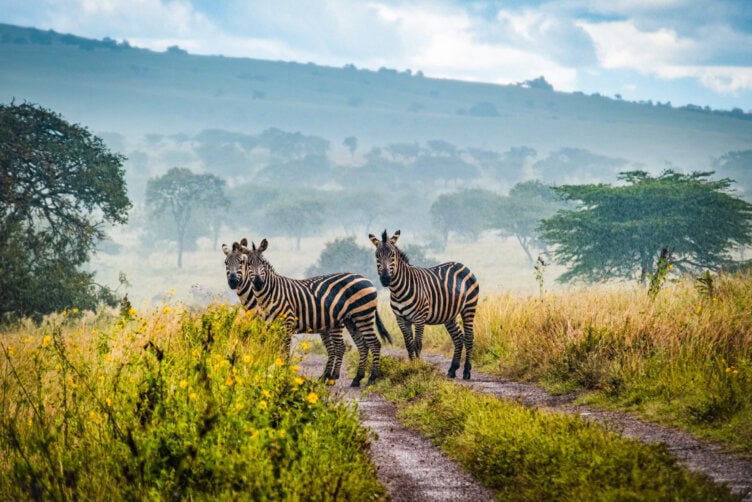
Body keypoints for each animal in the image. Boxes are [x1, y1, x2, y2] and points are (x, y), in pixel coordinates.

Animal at [223, 238, 392, 386]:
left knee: (371, 344)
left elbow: (282, 351)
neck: (268, 293)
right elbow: (273, 350)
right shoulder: (270, 326)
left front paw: (280, 374)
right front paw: (270, 371)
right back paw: (355, 379)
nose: (257, 282)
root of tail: (366, 279)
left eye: (242, 262)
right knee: (362, 346)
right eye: (226, 263)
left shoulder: (286, 324)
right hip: (351, 320)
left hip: (361, 316)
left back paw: (369, 378)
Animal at [369, 229, 479, 380]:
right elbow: (408, 344)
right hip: (449, 315)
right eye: (377, 256)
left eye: (392, 255)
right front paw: (410, 367)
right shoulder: (401, 319)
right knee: (458, 337)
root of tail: (462, 265)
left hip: (469, 307)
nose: (385, 279)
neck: (398, 290)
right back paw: (452, 369)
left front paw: (418, 369)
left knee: (468, 337)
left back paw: (467, 371)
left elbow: (417, 344)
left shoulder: (419, 318)